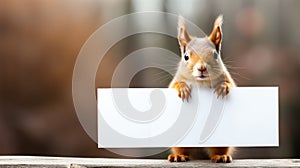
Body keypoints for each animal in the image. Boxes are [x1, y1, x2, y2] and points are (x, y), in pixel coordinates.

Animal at [168, 15, 236, 163]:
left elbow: (229, 85)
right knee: (181, 149)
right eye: (186, 56)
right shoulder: (176, 80)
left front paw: (223, 87)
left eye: (215, 55)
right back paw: (179, 156)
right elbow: (175, 85)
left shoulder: (227, 78)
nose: (201, 68)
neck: (202, 82)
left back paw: (220, 156)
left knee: (218, 150)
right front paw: (183, 88)